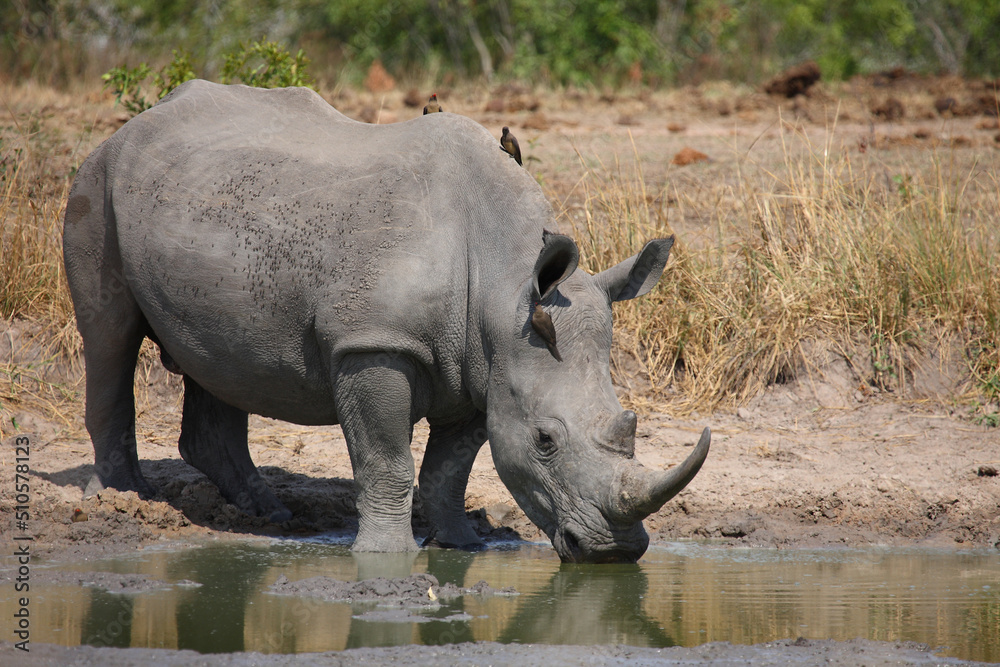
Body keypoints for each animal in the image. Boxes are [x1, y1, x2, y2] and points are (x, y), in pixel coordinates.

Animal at [63, 80, 709, 563]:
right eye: (545, 442)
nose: (615, 551)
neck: (503, 290)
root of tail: (132, 124)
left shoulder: (481, 366)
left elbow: (450, 467)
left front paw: (463, 544)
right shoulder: (374, 344)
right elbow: (386, 457)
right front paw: (386, 556)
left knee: (216, 359)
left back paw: (267, 512)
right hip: (95, 181)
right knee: (109, 338)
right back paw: (125, 500)